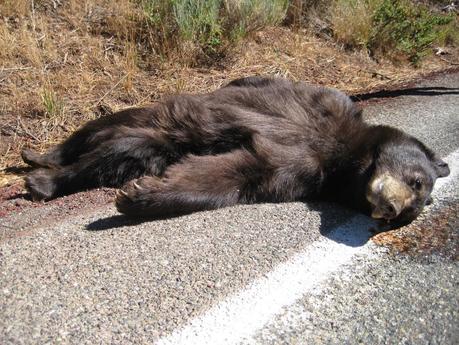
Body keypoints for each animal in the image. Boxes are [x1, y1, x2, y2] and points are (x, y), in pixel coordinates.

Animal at [21, 76, 450, 223]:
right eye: (417, 181)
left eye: (409, 213)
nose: (392, 209)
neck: (347, 158)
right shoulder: (328, 103)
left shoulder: (303, 171)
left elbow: (236, 172)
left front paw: (139, 195)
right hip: (178, 115)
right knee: (113, 127)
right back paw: (40, 161)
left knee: (126, 150)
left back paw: (46, 178)